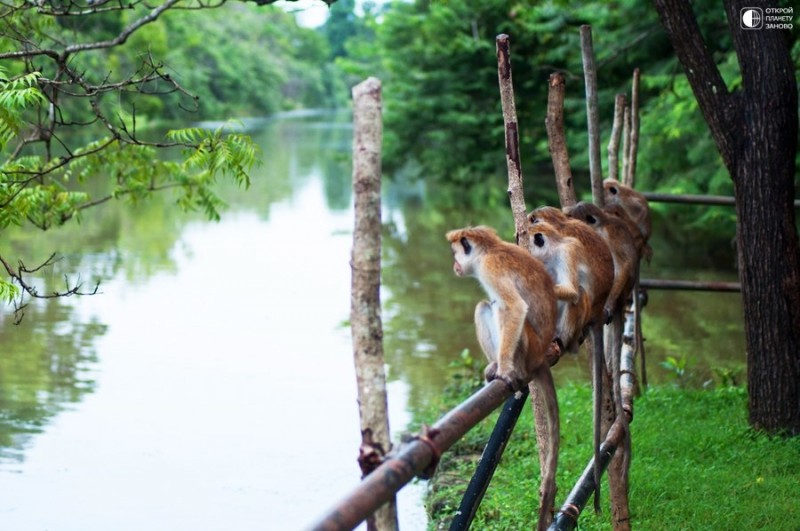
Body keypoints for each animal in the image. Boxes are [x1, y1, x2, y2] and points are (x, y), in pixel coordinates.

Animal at [446, 227, 560, 528]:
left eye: (456, 253)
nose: (454, 265)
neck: (490, 249)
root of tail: (539, 357)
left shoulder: (491, 268)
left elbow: (515, 308)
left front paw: (506, 370)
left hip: (527, 347)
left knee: (494, 307)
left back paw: (508, 368)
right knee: (485, 307)